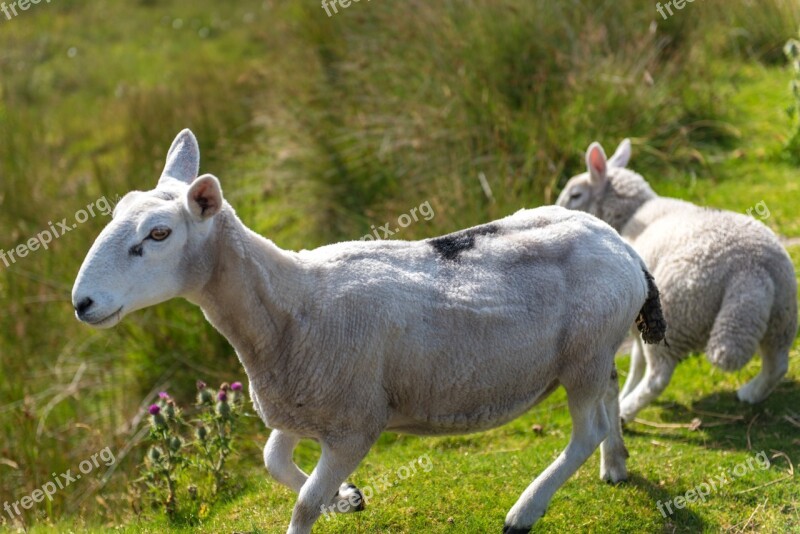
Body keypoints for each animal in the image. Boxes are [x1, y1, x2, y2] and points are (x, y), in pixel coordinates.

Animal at [73, 131, 668, 534]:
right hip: (597, 346)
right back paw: (615, 466)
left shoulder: (354, 422)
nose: (82, 303)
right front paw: (349, 498)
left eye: (158, 234)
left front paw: (333, 498)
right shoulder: (302, 404)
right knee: (610, 396)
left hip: (582, 353)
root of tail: (621, 244)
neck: (289, 307)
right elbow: (273, 461)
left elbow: (303, 503)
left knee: (586, 429)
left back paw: (525, 509)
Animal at [552, 140, 796, 426]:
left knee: (658, 378)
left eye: (575, 195)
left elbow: (637, 363)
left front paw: (625, 394)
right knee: (777, 364)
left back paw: (627, 412)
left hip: (676, 313)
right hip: (782, 314)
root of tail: (749, 268)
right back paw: (750, 393)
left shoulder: (640, 317)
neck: (632, 215)